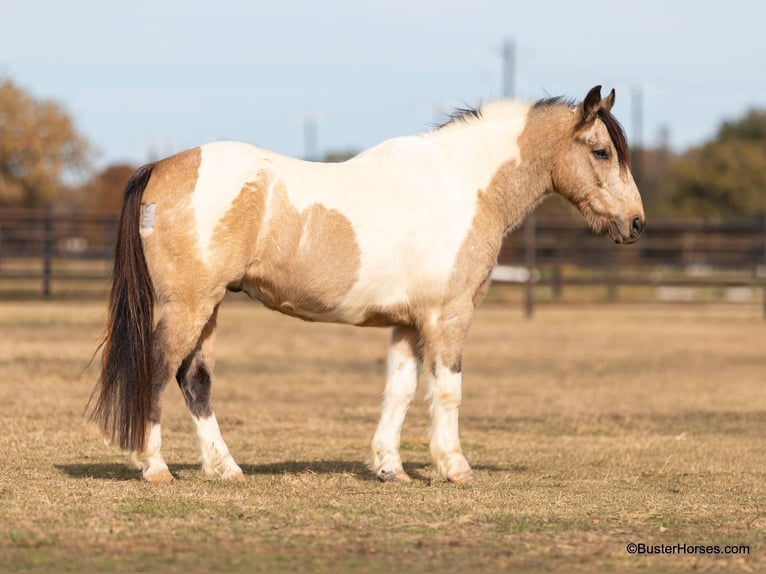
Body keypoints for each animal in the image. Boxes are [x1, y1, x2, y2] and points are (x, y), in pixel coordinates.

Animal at [87, 85, 644, 486]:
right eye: (600, 151)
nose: (635, 223)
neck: (459, 186)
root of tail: (160, 167)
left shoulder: (408, 324)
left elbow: (399, 390)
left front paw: (388, 467)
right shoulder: (448, 317)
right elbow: (448, 390)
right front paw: (455, 467)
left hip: (208, 308)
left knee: (194, 379)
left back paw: (225, 469)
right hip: (190, 305)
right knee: (158, 369)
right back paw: (155, 467)